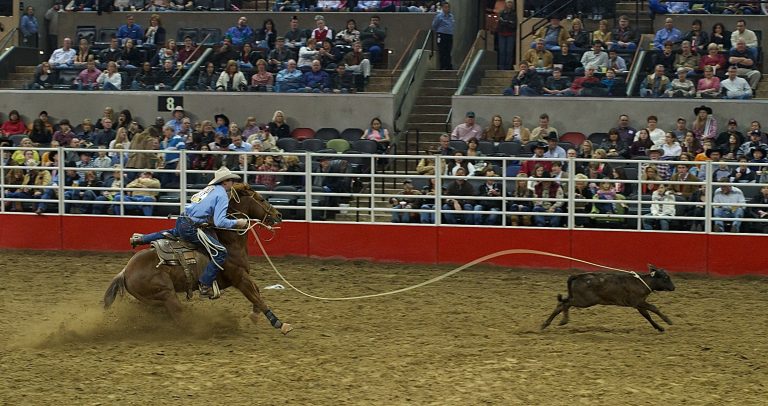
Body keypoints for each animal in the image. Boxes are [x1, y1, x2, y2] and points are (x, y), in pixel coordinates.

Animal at [103, 183, 293, 334]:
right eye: (261, 199)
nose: (279, 215)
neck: (229, 242)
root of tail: (125, 272)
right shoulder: (239, 278)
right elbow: (257, 297)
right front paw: (280, 324)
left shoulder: (243, 277)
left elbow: (257, 291)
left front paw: (254, 315)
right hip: (166, 295)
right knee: (180, 316)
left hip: (152, 301)